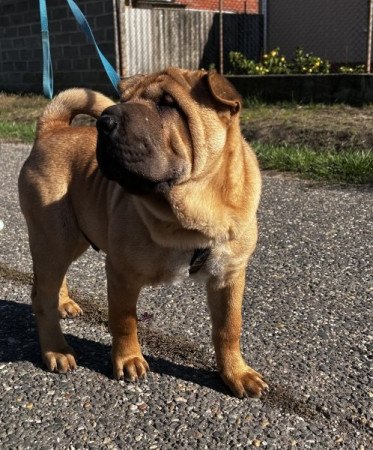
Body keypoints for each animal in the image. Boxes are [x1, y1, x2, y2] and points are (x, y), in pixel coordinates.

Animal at [18, 67, 266, 398]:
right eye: (124, 101)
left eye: (168, 103)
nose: (105, 121)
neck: (195, 211)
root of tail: (51, 130)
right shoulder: (122, 274)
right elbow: (124, 321)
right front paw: (128, 360)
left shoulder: (230, 275)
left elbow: (229, 327)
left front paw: (236, 373)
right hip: (54, 239)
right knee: (41, 296)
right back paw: (56, 351)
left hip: (70, 239)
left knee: (55, 280)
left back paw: (64, 304)